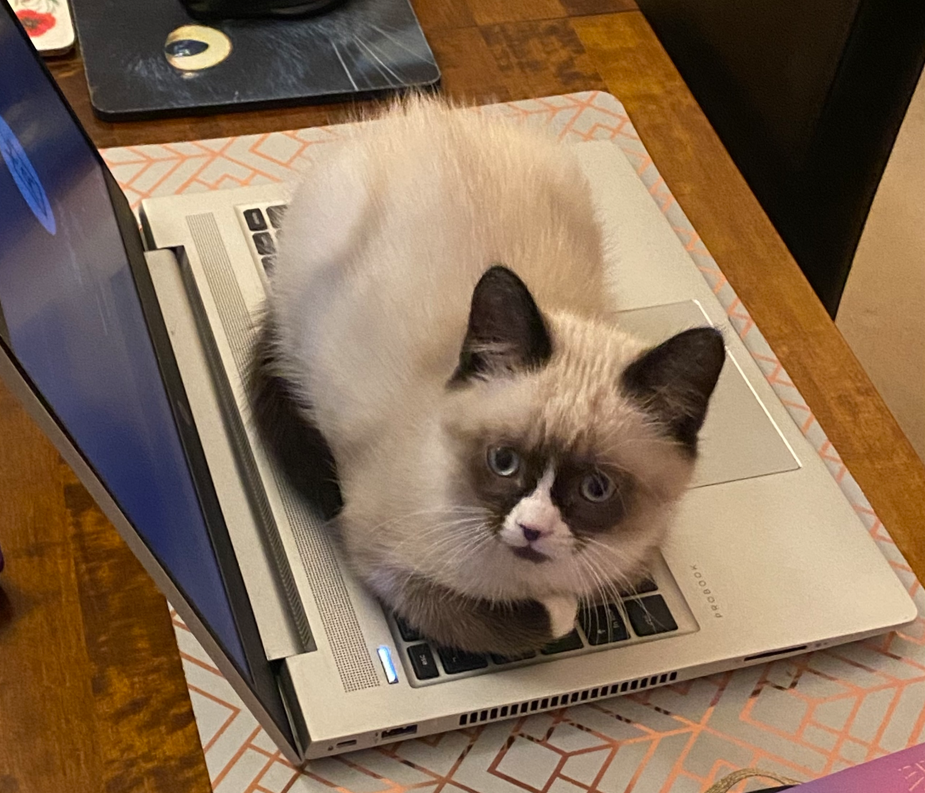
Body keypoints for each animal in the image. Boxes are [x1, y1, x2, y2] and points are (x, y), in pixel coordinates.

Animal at [256, 97, 724, 656]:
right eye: (503, 461)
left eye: (596, 489)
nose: (532, 530)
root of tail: (424, 111)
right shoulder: (388, 568)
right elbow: (519, 625)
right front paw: (558, 612)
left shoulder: (638, 555)